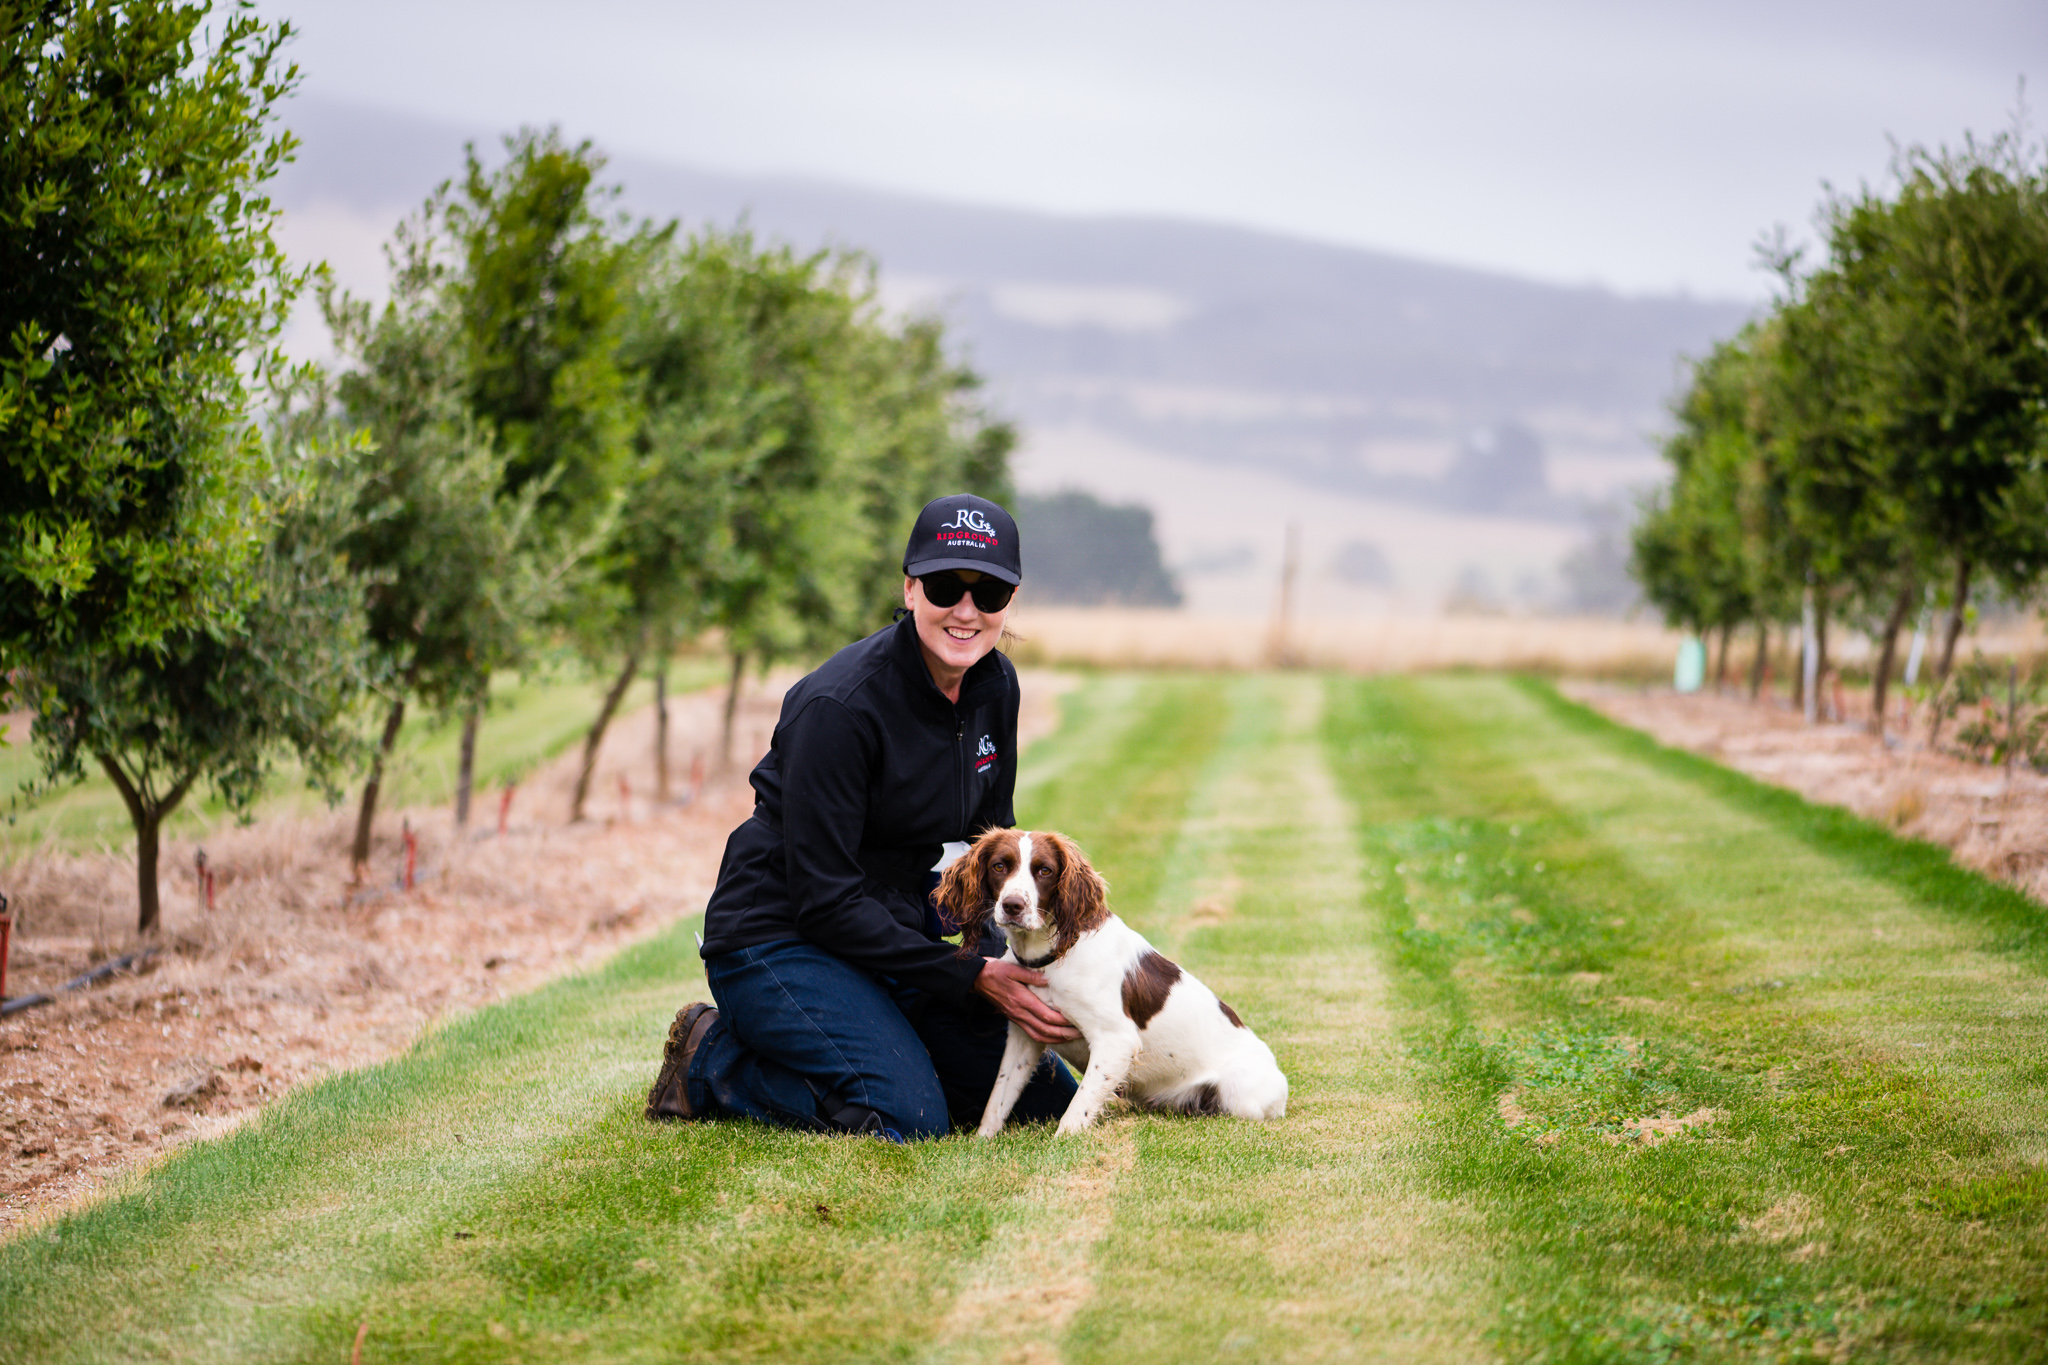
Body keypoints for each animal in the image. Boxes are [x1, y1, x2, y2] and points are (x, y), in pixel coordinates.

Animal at [937, 826, 1286, 1137]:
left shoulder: (1116, 1041)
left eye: (1045, 871)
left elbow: (1076, 1113)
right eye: (1000, 866)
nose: (1012, 906)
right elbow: (998, 1099)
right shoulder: (1024, 1036)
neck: (1052, 957)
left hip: (1240, 1093)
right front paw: (982, 1142)